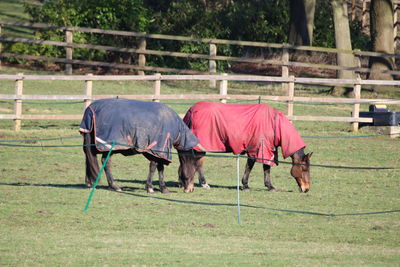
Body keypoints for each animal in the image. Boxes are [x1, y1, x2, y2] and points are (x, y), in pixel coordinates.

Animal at [178, 101, 312, 194]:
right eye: (304, 168)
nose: (306, 189)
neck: (273, 124)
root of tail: (192, 110)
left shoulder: (265, 150)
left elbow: (266, 168)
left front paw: (269, 186)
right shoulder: (256, 149)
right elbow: (251, 167)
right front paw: (246, 185)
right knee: (196, 164)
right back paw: (199, 183)